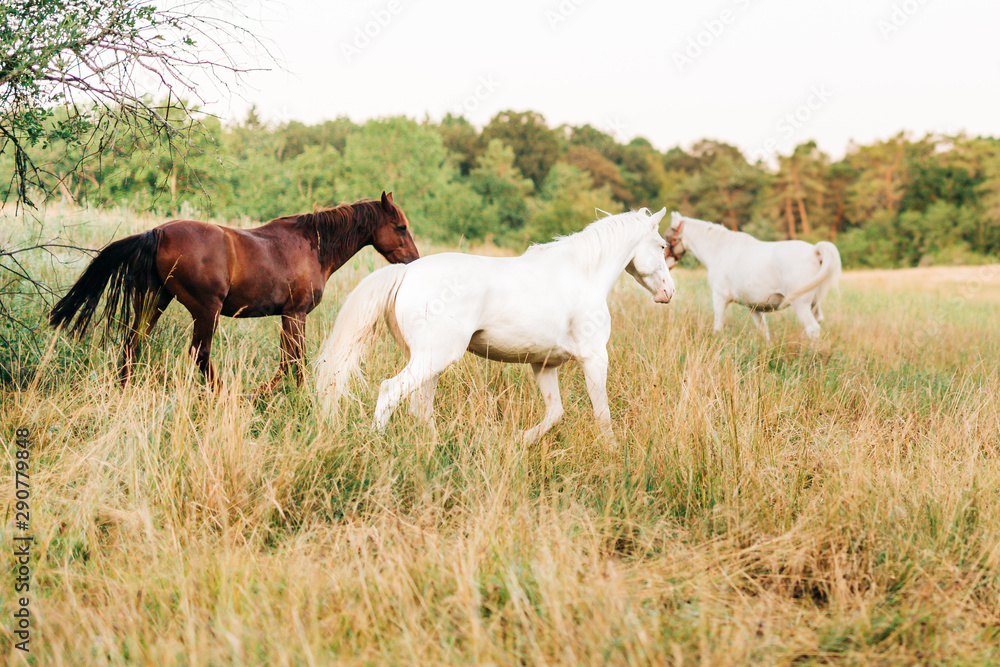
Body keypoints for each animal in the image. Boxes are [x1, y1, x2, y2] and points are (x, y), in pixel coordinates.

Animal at [49, 192, 420, 390]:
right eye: (400, 227)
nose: (415, 261)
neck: (314, 246)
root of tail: (157, 232)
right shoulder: (295, 314)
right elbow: (293, 361)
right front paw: (281, 395)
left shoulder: (288, 316)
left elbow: (289, 359)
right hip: (206, 310)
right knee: (199, 355)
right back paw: (226, 394)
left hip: (156, 301)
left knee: (132, 344)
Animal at [314, 207, 675, 445]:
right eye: (662, 246)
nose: (668, 292)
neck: (583, 274)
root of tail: (406, 272)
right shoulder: (595, 359)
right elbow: (603, 415)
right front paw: (612, 453)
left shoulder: (544, 365)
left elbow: (555, 412)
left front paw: (518, 441)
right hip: (433, 357)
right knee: (391, 392)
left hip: (427, 361)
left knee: (420, 406)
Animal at [664, 212, 841, 340]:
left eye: (666, 238)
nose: (666, 263)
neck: (719, 249)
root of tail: (815, 250)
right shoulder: (755, 307)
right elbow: (763, 331)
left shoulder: (720, 297)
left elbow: (718, 327)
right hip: (814, 304)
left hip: (801, 305)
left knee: (813, 329)